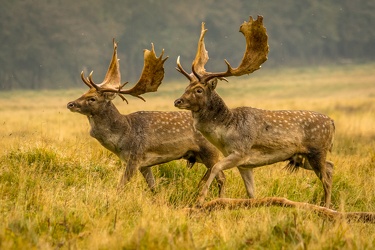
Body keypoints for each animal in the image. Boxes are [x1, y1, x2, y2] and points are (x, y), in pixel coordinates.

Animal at [67, 40, 226, 194]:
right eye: (84, 93)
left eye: (92, 98)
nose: (70, 104)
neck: (123, 135)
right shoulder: (144, 164)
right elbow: (153, 187)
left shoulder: (135, 157)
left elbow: (121, 186)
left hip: (210, 151)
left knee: (221, 177)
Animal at [175, 16, 336, 207]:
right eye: (186, 87)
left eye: (199, 90)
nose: (178, 101)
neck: (226, 131)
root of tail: (332, 122)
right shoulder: (245, 164)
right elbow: (251, 193)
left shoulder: (240, 152)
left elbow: (215, 167)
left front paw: (200, 199)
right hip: (303, 157)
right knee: (331, 167)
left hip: (317, 150)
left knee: (326, 178)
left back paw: (327, 207)